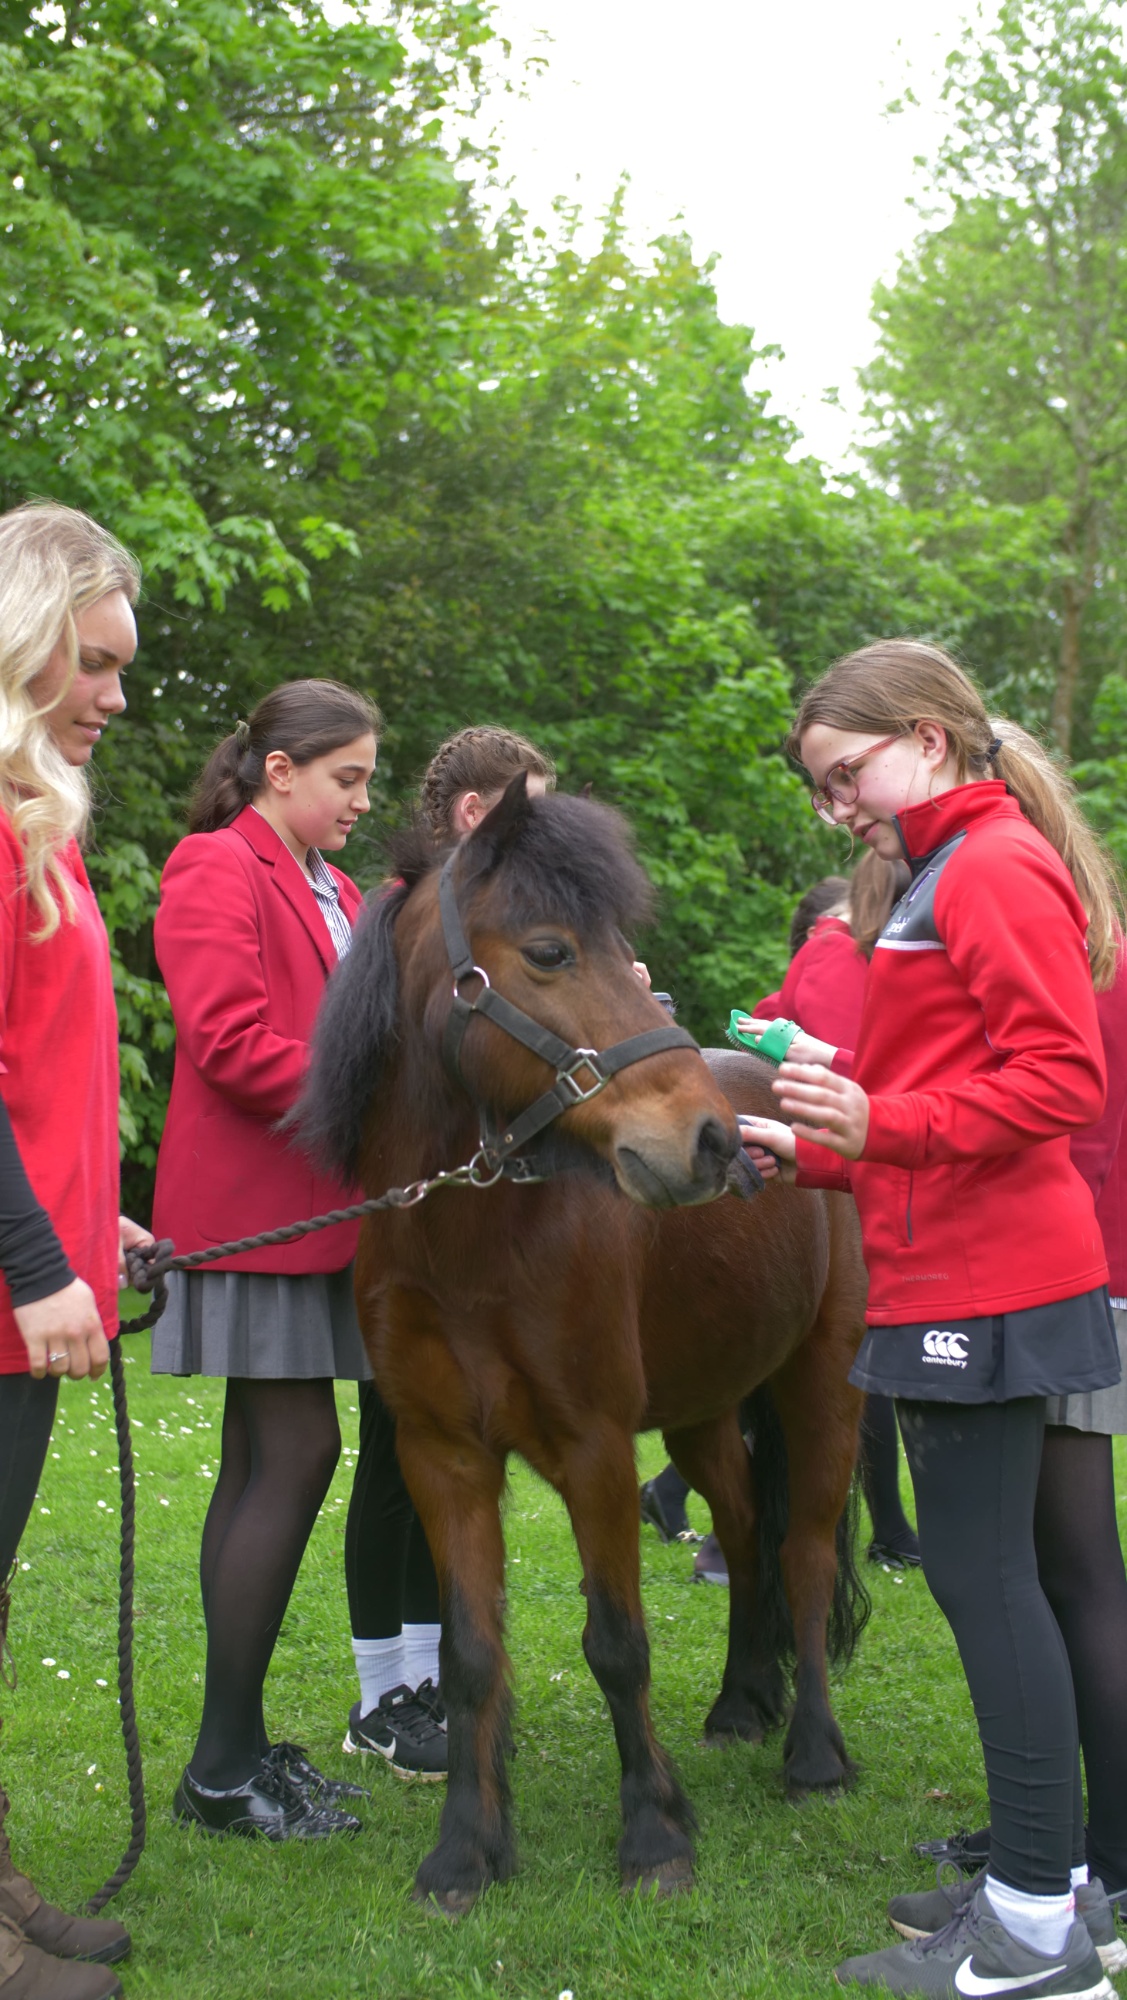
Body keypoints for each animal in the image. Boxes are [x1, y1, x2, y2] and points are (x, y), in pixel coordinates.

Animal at [297, 772, 863, 1912]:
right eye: (552, 951)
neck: (469, 1241)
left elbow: (616, 1643)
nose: (710, 1142)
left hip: (819, 1387)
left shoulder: (596, 1451)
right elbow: (471, 1652)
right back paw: (742, 1701)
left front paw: (651, 1833)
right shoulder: (444, 1459)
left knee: (805, 1553)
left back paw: (813, 1753)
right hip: (701, 1412)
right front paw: (464, 1850)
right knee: (744, 1533)